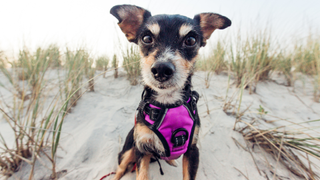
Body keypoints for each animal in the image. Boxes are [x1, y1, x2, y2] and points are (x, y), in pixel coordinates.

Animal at [109, 4, 230, 180]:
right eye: (147, 38)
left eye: (191, 40)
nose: (161, 69)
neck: (168, 101)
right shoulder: (141, 148)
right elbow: (141, 175)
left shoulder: (192, 150)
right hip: (129, 149)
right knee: (120, 168)